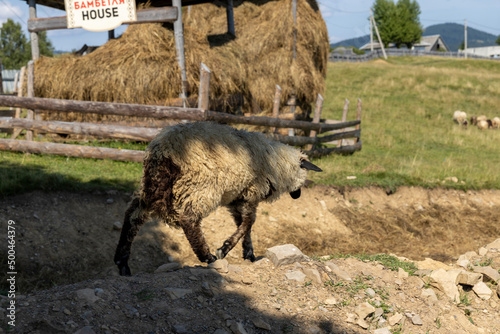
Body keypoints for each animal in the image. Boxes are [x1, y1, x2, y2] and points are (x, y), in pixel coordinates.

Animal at [114, 121, 322, 276]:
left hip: (152, 184)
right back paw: (206, 256)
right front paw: (225, 249)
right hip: (200, 187)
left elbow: (244, 225)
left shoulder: (238, 198)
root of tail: (165, 147)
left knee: (133, 215)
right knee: (189, 220)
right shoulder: (251, 192)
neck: (276, 163)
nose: (297, 196)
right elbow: (249, 222)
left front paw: (248, 252)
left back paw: (122, 262)